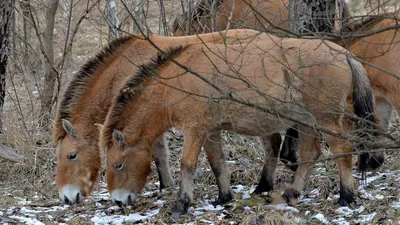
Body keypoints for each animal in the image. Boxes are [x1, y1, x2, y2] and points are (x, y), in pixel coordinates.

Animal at [101, 31, 376, 216]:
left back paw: (346, 196)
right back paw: (292, 193)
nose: (118, 200)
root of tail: (344, 54)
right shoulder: (210, 132)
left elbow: (187, 165)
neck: (178, 81)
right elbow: (217, 163)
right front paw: (224, 197)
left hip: (326, 119)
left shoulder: (194, 130)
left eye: (118, 164)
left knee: (343, 151)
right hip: (307, 121)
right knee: (310, 154)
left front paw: (181, 204)